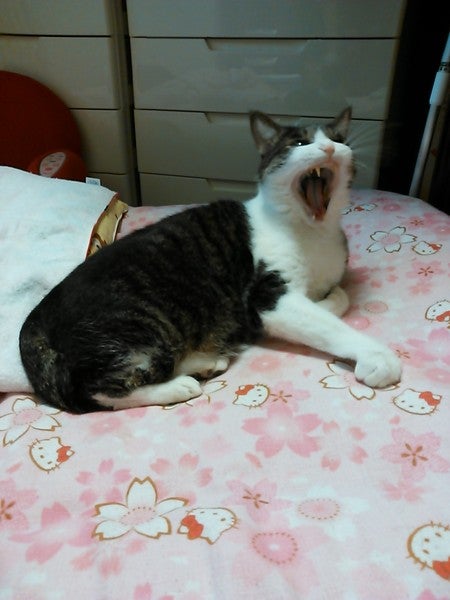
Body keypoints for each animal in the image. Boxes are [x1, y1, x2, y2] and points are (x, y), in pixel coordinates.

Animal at [19, 107, 401, 413]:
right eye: (297, 144)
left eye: (338, 139)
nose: (329, 148)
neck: (314, 233)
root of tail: (36, 322)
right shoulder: (268, 297)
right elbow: (328, 324)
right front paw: (377, 355)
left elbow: (337, 299)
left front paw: (326, 302)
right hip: (139, 324)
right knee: (97, 390)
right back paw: (177, 386)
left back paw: (203, 361)